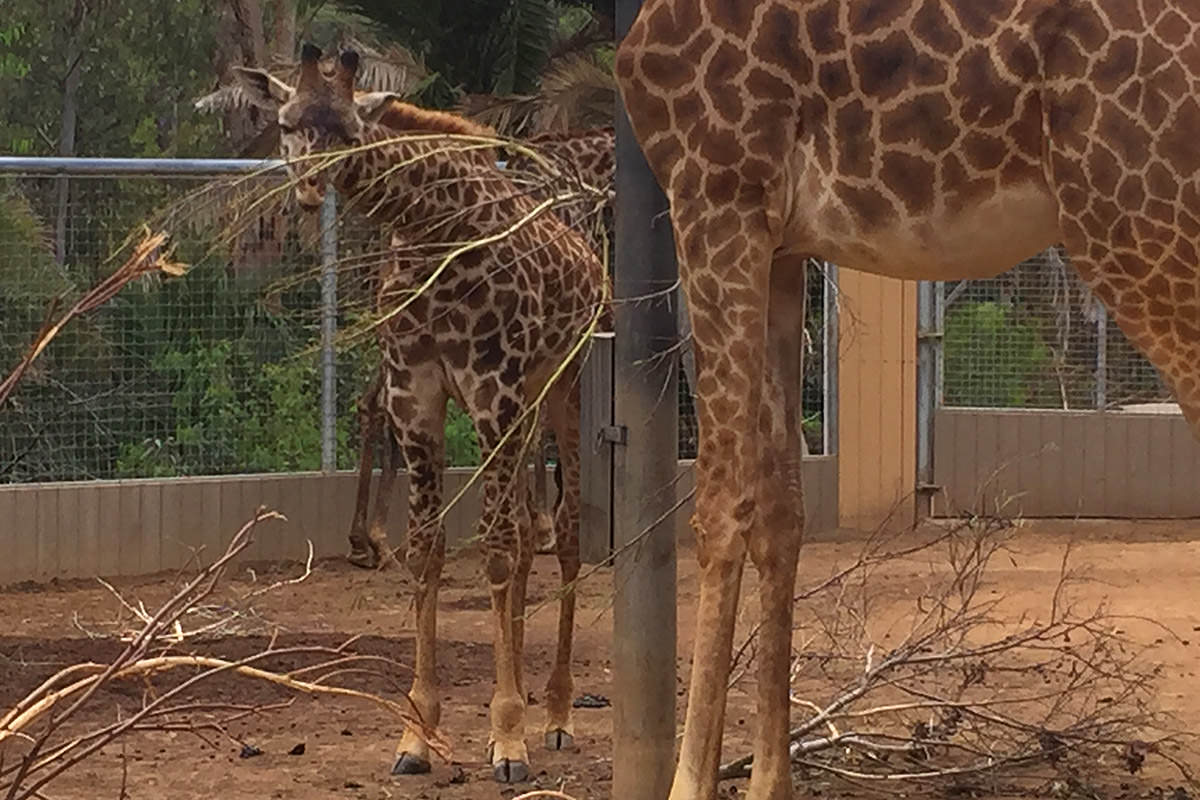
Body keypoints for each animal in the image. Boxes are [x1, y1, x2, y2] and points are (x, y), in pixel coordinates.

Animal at [619, 1, 1200, 800]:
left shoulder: (717, 192)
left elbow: (719, 506)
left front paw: (690, 784)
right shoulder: (782, 242)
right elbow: (781, 510)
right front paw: (770, 783)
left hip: (1137, 230)